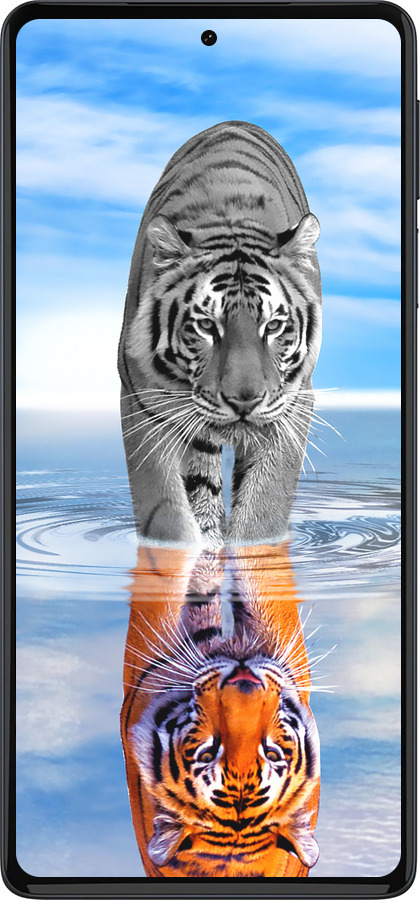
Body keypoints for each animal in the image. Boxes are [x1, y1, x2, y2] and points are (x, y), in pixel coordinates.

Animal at [118, 120, 322, 548]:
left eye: (273, 326)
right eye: (206, 326)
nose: (244, 401)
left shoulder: (293, 404)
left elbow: (263, 509)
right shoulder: (142, 401)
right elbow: (166, 511)